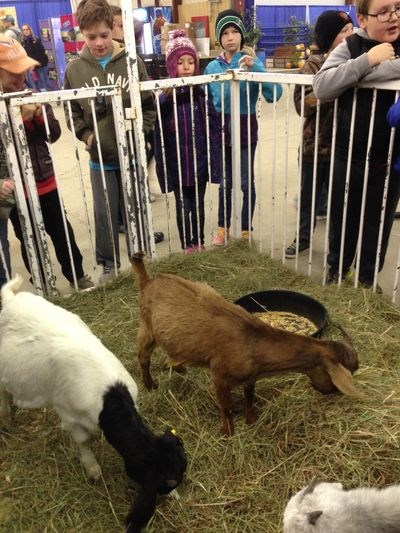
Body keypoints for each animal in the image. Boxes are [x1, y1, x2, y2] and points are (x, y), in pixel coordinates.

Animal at [0, 276, 187, 528]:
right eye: (167, 482)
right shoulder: (69, 416)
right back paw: (5, 417)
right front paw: (93, 469)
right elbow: (83, 441)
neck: (109, 397)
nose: (174, 496)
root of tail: (11, 299)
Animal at [131, 255, 360, 436]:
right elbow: (227, 408)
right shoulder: (220, 377)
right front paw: (228, 433)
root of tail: (149, 281)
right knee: (143, 357)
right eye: (342, 374)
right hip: (146, 327)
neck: (251, 342)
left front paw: (251, 420)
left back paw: (178, 367)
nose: (329, 393)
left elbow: (250, 397)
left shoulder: (251, 377)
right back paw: (150, 385)